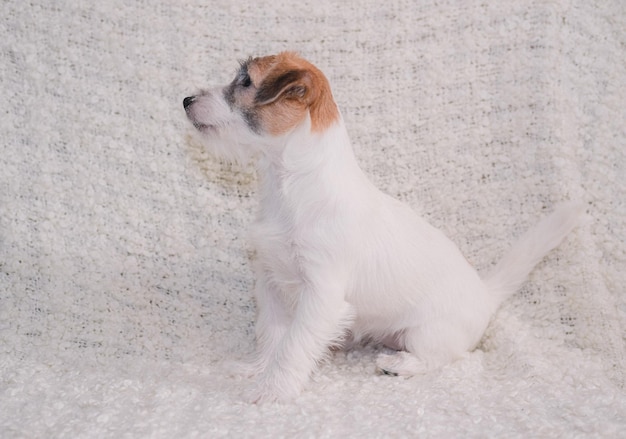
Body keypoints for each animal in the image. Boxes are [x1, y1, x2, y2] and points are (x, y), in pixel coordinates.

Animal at [183, 51, 584, 402]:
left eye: (246, 81)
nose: (186, 99)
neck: (291, 187)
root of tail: (486, 294)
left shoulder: (321, 295)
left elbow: (293, 346)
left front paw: (273, 390)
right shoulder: (271, 284)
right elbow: (271, 334)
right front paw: (257, 370)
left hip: (427, 332)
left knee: (447, 358)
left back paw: (400, 365)